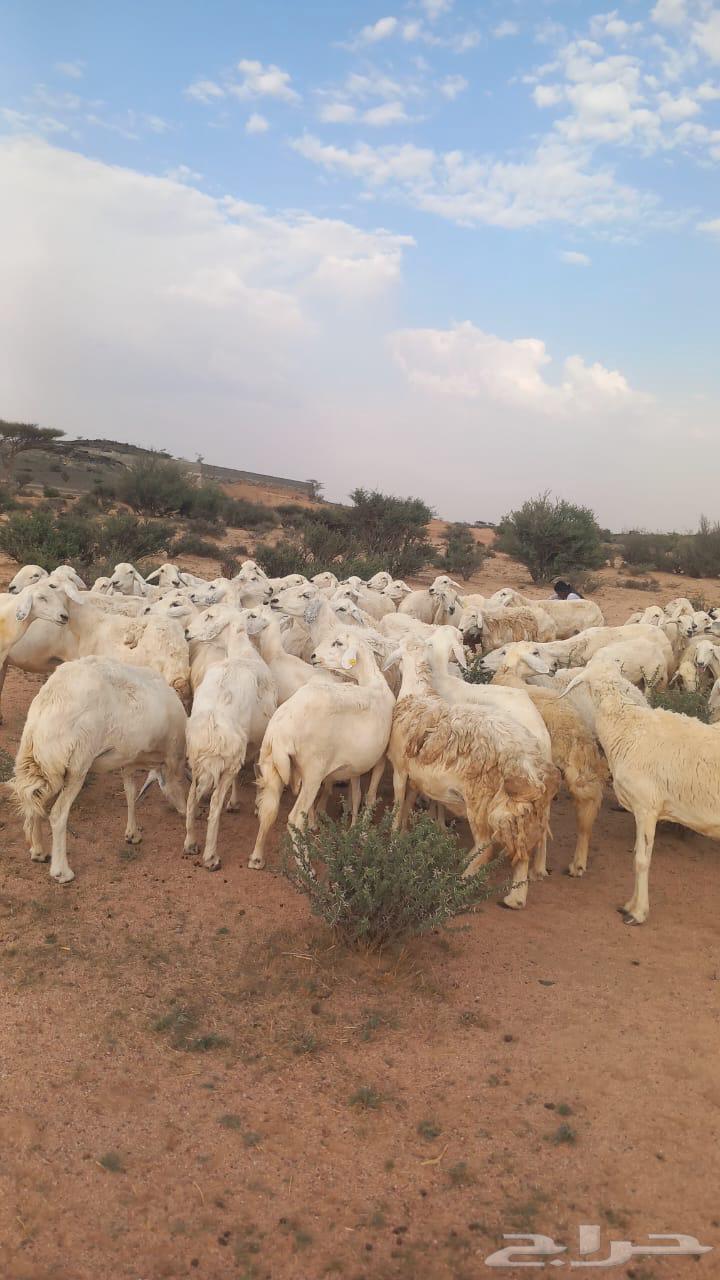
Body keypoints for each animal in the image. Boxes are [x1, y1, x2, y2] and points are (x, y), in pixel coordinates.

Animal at [12, 657, 187, 883]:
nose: (184, 811)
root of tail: (50, 701)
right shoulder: (172, 753)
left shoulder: (127, 758)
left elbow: (130, 793)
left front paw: (132, 833)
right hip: (77, 765)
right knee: (57, 814)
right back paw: (61, 871)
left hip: (39, 764)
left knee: (33, 800)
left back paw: (38, 851)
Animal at [184, 622, 277, 870]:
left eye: (209, 616)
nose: (187, 633)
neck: (241, 653)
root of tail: (211, 725)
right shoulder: (260, 739)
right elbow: (257, 768)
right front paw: (254, 804)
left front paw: (236, 803)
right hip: (226, 761)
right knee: (215, 804)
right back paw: (211, 857)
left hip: (197, 759)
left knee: (191, 798)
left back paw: (190, 843)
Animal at [249, 631, 395, 869]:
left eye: (338, 642)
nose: (313, 656)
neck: (373, 682)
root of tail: (279, 732)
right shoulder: (380, 758)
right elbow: (371, 796)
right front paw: (363, 833)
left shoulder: (355, 764)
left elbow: (357, 795)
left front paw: (354, 829)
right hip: (312, 772)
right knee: (294, 819)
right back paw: (306, 868)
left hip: (272, 765)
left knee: (268, 810)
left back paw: (257, 857)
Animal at [388, 637, 559, 909]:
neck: (418, 694)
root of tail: (525, 764)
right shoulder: (417, 777)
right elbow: (408, 802)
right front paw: (406, 832)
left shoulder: (399, 769)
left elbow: (396, 804)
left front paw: (394, 839)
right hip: (517, 809)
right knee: (522, 847)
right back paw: (515, 897)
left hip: (480, 800)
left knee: (486, 845)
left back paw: (460, 878)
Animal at [560, 664, 720, 924]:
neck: (629, 728)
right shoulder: (640, 810)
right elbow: (637, 856)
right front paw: (630, 904)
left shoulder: (647, 807)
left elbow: (641, 861)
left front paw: (638, 912)